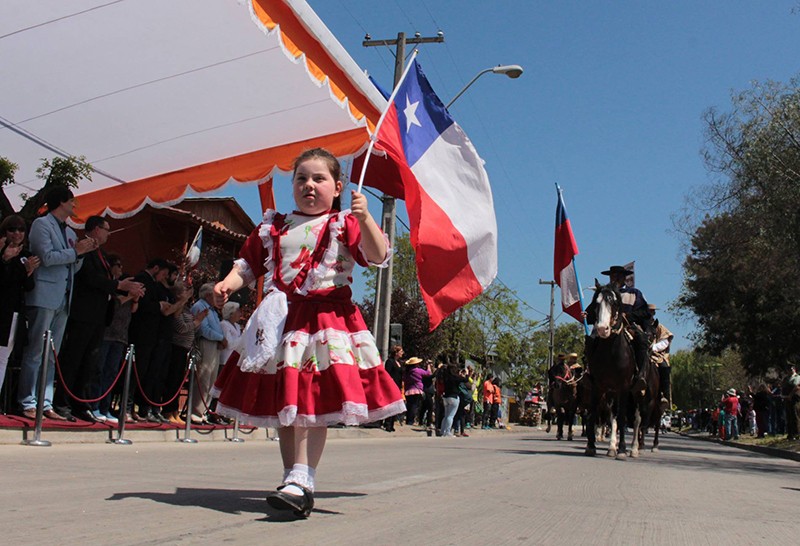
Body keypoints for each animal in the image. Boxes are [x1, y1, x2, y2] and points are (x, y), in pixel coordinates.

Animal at [584, 278, 636, 456]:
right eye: (596, 303)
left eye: (614, 302)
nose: (602, 329)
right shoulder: (597, 385)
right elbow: (593, 414)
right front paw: (590, 445)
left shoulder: (624, 387)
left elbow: (621, 417)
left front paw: (622, 449)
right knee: (610, 416)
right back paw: (611, 446)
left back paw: (630, 448)